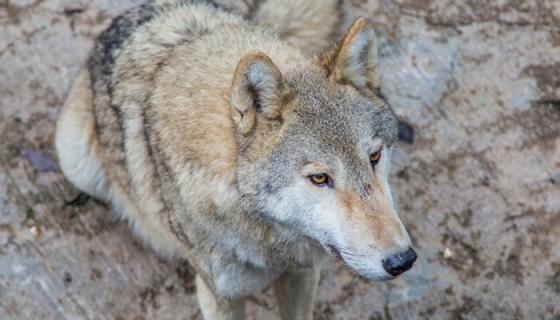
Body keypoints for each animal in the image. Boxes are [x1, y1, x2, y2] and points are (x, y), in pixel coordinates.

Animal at [55, 1, 416, 318]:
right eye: (319, 178)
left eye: (374, 156)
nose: (402, 260)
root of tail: (124, 16)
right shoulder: (221, 296)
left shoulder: (303, 273)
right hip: (74, 158)